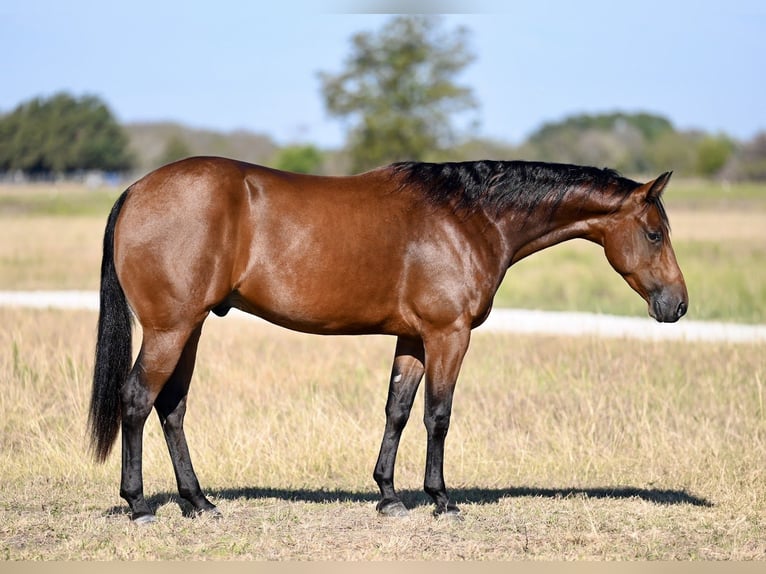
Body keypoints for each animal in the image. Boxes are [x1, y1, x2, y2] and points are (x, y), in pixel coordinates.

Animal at [88, 155, 688, 524]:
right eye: (654, 233)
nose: (677, 305)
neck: (469, 218)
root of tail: (136, 189)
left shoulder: (413, 340)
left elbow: (397, 411)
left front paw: (389, 495)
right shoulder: (449, 336)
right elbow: (438, 415)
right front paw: (441, 499)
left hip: (189, 329)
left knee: (171, 407)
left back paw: (198, 502)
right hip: (170, 330)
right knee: (137, 400)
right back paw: (139, 505)